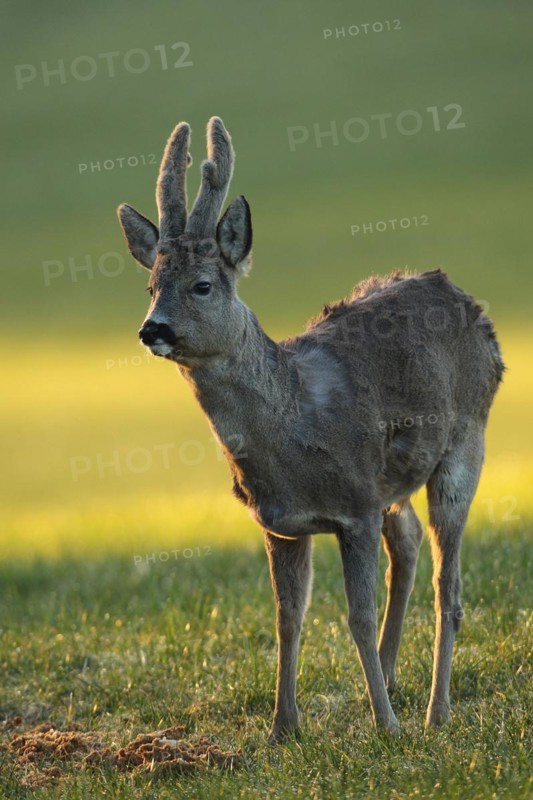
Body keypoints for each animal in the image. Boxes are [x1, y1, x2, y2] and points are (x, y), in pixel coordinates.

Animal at [117, 116, 504, 743]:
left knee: (449, 582)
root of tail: (470, 302)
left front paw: (386, 728)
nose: (152, 329)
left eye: (202, 284)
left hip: (466, 440)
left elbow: (355, 615)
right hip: (394, 481)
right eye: (151, 286)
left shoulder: (356, 505)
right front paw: (283, 728)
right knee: (409, 541)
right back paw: (391, 676)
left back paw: (434, 710)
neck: (292, 433)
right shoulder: (281, 522)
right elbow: (287, 619)